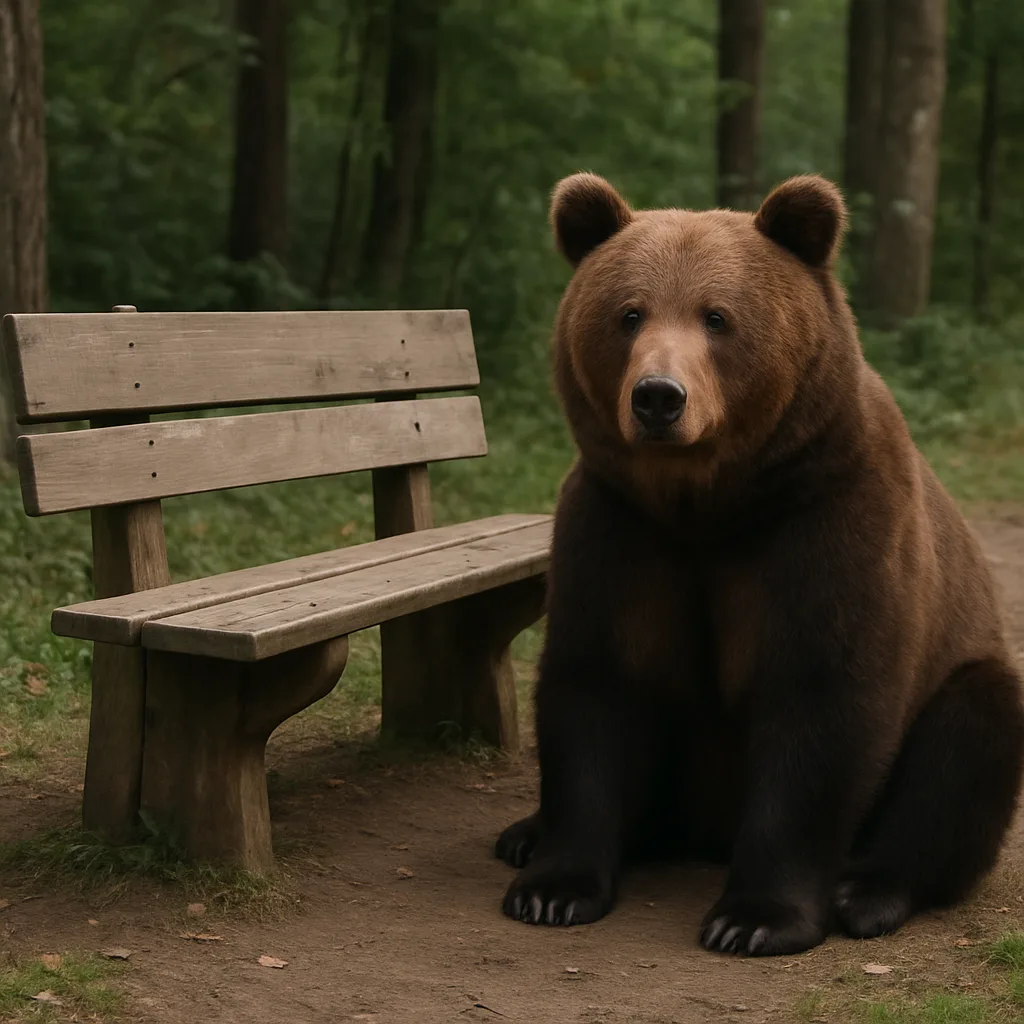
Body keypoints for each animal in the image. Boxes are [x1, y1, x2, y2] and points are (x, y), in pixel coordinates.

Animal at [494, 172, 1024, 956]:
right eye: (629, 314)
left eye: (717, 317)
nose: (658, 397)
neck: (709, 503)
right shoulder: (621, 528)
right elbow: (598, 682)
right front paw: (552, 888)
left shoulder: (825, 519)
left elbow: (821, 699)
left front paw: (754, 917)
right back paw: (524, 835)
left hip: (962, 667)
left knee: (966, 746)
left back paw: (870, 892)